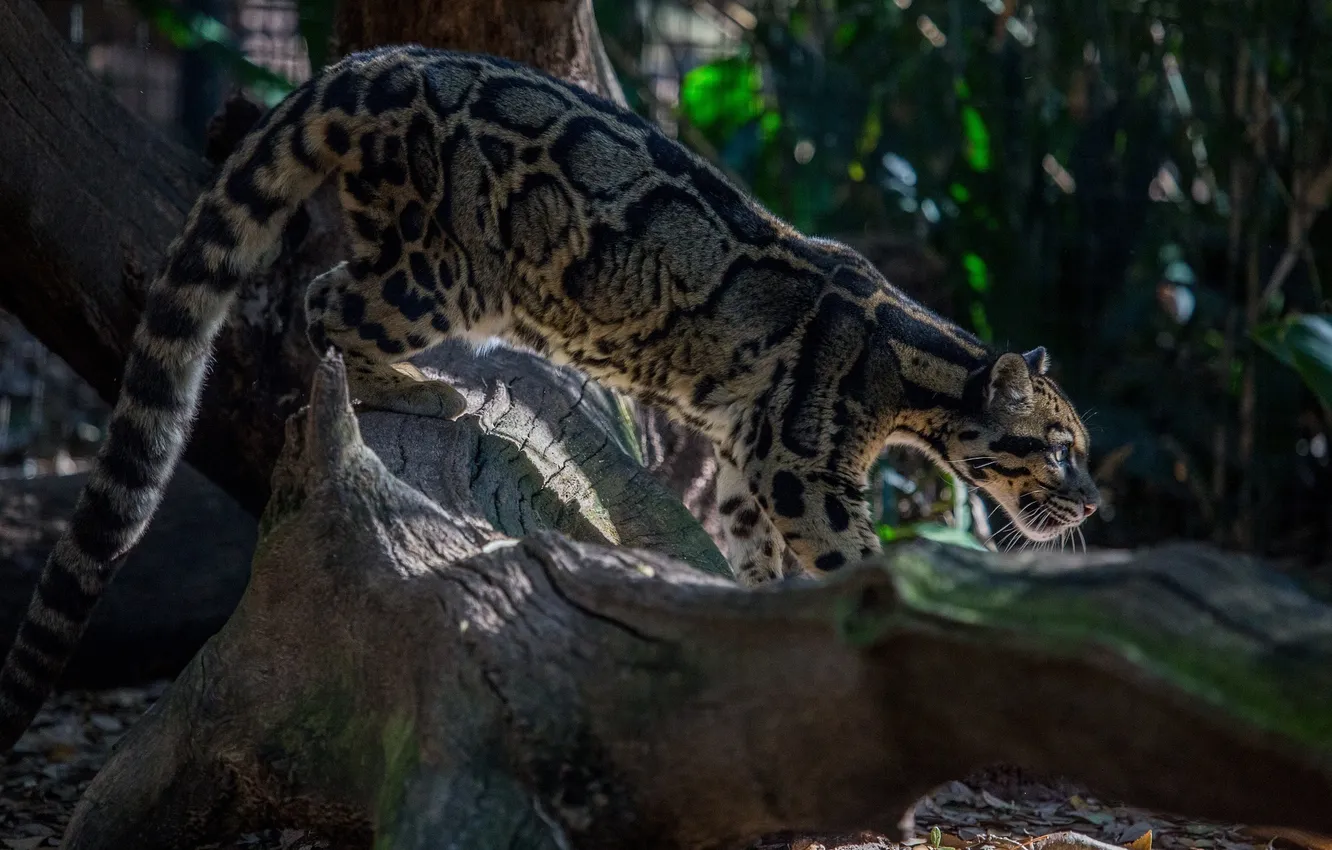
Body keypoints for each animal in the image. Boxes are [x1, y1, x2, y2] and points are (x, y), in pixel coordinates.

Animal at [0, 45, 1099, 749]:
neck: (912, 369)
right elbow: (848, 553)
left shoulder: (748, 451)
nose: (1092, 499)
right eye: (1058, 445)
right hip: (440, 273)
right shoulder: (802, 464)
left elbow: (751, 545)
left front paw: (761, 616)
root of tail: (369, 62)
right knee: (323, 301)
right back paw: (424, 388)